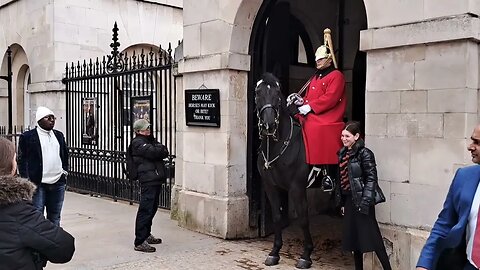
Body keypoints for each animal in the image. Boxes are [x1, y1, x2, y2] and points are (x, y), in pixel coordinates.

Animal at [255, 73, 312, 268]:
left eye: (278, 95)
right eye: (257, 93)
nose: (268, 125)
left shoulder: (297, 188)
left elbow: (303, 218)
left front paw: (306, 255)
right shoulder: (270, 186)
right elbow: (277, 216)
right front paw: (274, 252)